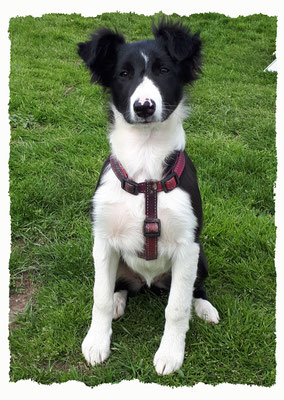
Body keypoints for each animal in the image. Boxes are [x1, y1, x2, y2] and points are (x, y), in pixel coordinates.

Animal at [77, 18, 220, 376]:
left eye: (164, 70)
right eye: (123, 74)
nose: (144, 107)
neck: (146, 174)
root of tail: (149, 283)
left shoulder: (187, 247)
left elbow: (177, 308)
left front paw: (170, 354)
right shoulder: (102, 241)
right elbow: (99, 296)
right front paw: (96, 342)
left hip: (201, 257)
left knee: (194, 289)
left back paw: (205, 308)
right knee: (120, 286)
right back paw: (119, 300)